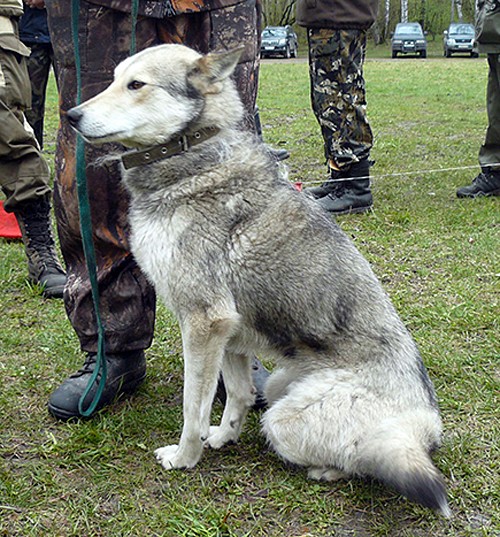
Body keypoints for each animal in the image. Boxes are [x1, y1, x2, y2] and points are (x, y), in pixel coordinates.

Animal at [66, 43, 450, 516]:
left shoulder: (204, 322)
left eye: (136, 84)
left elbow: (192, 407)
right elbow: (237, 394)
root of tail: (425, 426)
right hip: (282, 382)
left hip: (285, 419)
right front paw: (223, 436)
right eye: (114, 79)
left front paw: (185, 456)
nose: (71, 115)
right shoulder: (229, 333)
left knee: (363, 457)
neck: (192, 155)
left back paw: (327, 469)